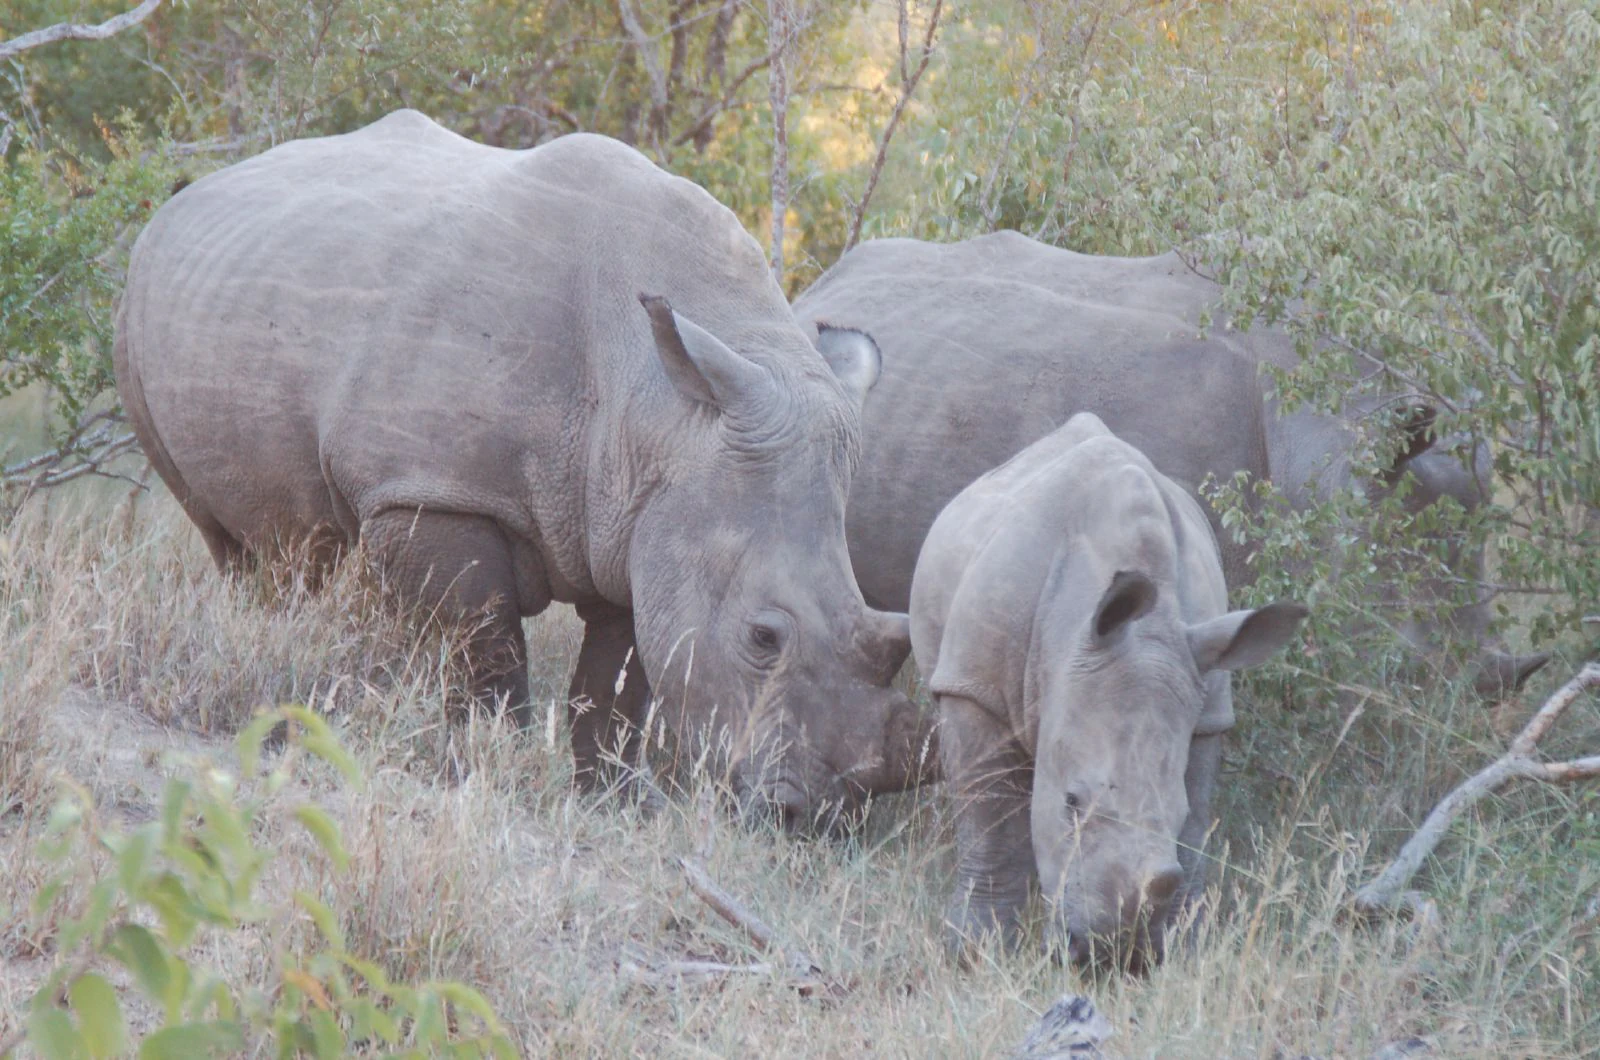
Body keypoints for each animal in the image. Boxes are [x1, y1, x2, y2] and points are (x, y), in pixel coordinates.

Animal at [113, 110, 932, 817]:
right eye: (765, 637)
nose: (811, 815)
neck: (662, 412)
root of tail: (193, 192)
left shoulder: (637, 521)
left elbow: (616, 682)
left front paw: (611, 795)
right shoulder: (438, 490)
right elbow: (488, 649)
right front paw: (491, 762)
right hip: (141, 295)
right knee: (222, 531)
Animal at [911, 412, 1306, 962]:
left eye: (1177, 812)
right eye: (1071, 801)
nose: (1108, 955)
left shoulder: (1207, 706)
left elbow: (1196, 823)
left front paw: (1184, 945)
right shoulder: (974, 686)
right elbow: (987, 817)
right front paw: (974, 950)